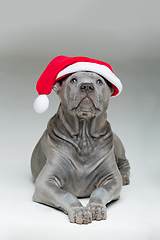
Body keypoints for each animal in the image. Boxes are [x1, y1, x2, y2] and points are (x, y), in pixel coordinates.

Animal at [31, 62, 130, 225]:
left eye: (99, 81)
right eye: (73, 80)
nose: (87, 86)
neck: (84, 138)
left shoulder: (112, 180)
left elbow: (101, 190)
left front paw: (96, 207)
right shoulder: (45, 182)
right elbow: (65, 194)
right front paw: (79, 210)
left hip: (116, 142)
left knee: (124, 161)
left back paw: (125, 176)